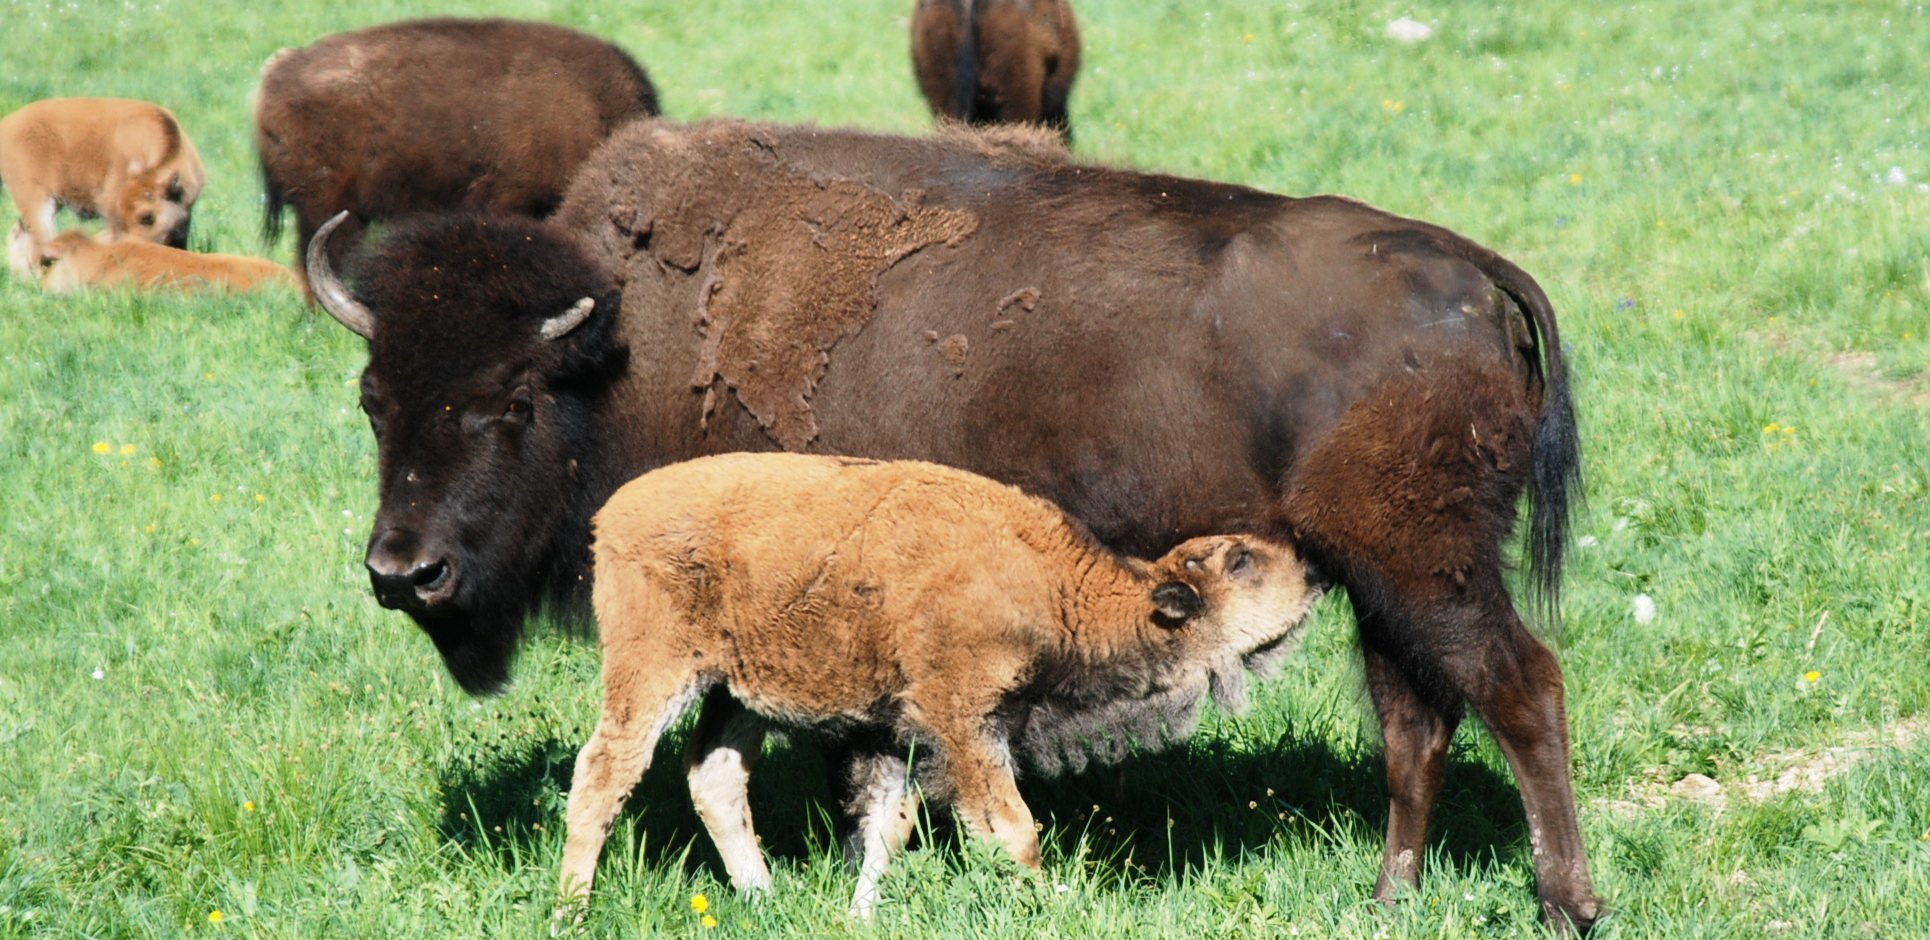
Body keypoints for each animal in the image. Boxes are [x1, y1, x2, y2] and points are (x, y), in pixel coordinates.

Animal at [311, 120, 1598, 931]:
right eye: (372, 397)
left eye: (508, 402)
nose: (403, 571)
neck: (624, 347)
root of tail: (1470, 269)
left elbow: (855, 768)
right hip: (1383, 578)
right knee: (1414, 720)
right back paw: (1389, 899)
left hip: (1428, 567)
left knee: (1518, 686)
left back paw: (1565, 901)